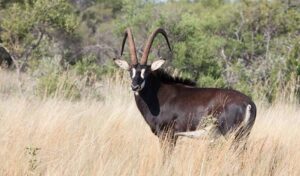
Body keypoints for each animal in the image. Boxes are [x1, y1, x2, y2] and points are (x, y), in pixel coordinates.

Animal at [113, 27, 256, 146]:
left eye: (146, 72)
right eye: (130, 71)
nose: (135, 86)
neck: (157, 95)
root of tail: (248, 103)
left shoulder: (167, 135)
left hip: (232, 134)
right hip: (243, 135)